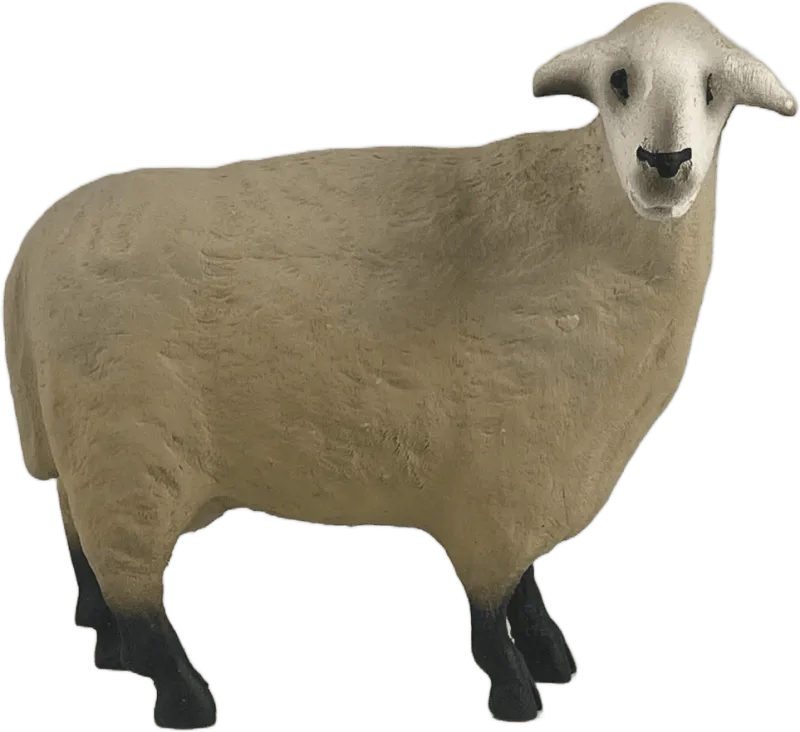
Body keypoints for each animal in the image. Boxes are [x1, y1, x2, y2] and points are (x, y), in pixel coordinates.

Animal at [3, 1, 796, 728]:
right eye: (618, 81)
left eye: (715, 87)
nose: (665, 163)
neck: (578, 219)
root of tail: (33, 248)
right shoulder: (494, 486)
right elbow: (492, 605)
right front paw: (515, 689)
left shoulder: (528, 478)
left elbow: (525, 587)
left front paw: (549, 650)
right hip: (132, 458)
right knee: (135, 587)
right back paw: (180, 692)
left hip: (89, 448)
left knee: (79, 539)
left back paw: (106, 643)